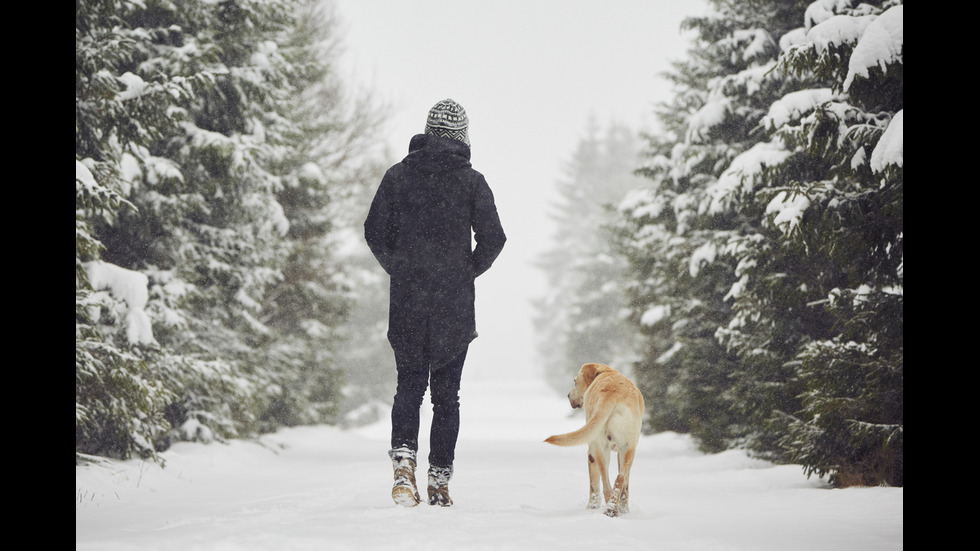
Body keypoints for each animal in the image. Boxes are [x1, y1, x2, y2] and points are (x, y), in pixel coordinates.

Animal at [544, 364, 644, 516]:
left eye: (574, 381)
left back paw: (609, 509)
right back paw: (613, 509)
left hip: (599, 449)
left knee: (606, 484)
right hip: (627, 449)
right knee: (619, 480)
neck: (605, 373)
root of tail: (611, 393)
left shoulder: (591, 452)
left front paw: (592, 506)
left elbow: (593, 485)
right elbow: (625, 484)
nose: (568, 395)